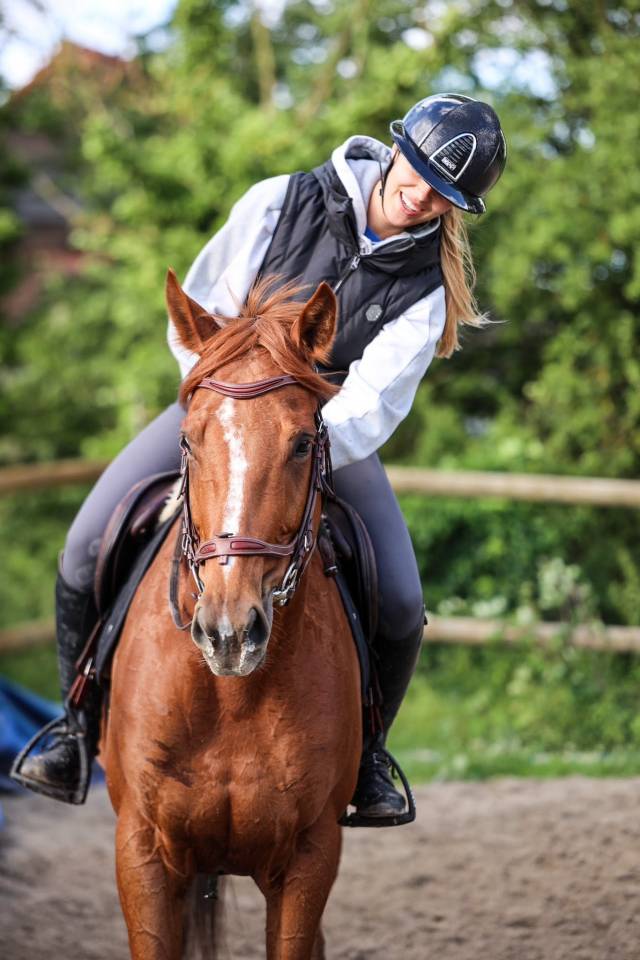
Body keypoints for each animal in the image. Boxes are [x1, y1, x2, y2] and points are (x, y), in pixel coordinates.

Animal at [101, 270, 362, 960]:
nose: (228, 632)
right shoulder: (142, 852)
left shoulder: (310, 859)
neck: (229, 697)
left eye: (302, 443)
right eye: (188, 439)